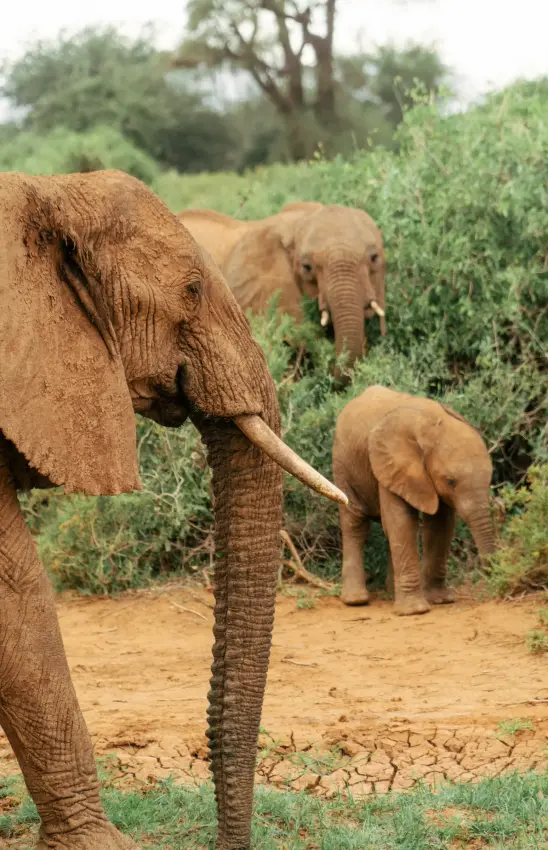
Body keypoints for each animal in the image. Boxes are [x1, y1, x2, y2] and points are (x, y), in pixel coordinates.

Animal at [332, 386, 495, 616]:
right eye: (451, 482)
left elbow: (440, 525)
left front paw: (441, 600)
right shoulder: (390, 463)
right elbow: (402, 521)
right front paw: (414, 611)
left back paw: (390, 592)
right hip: (343, 464)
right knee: (355, 523)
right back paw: (356, 600)